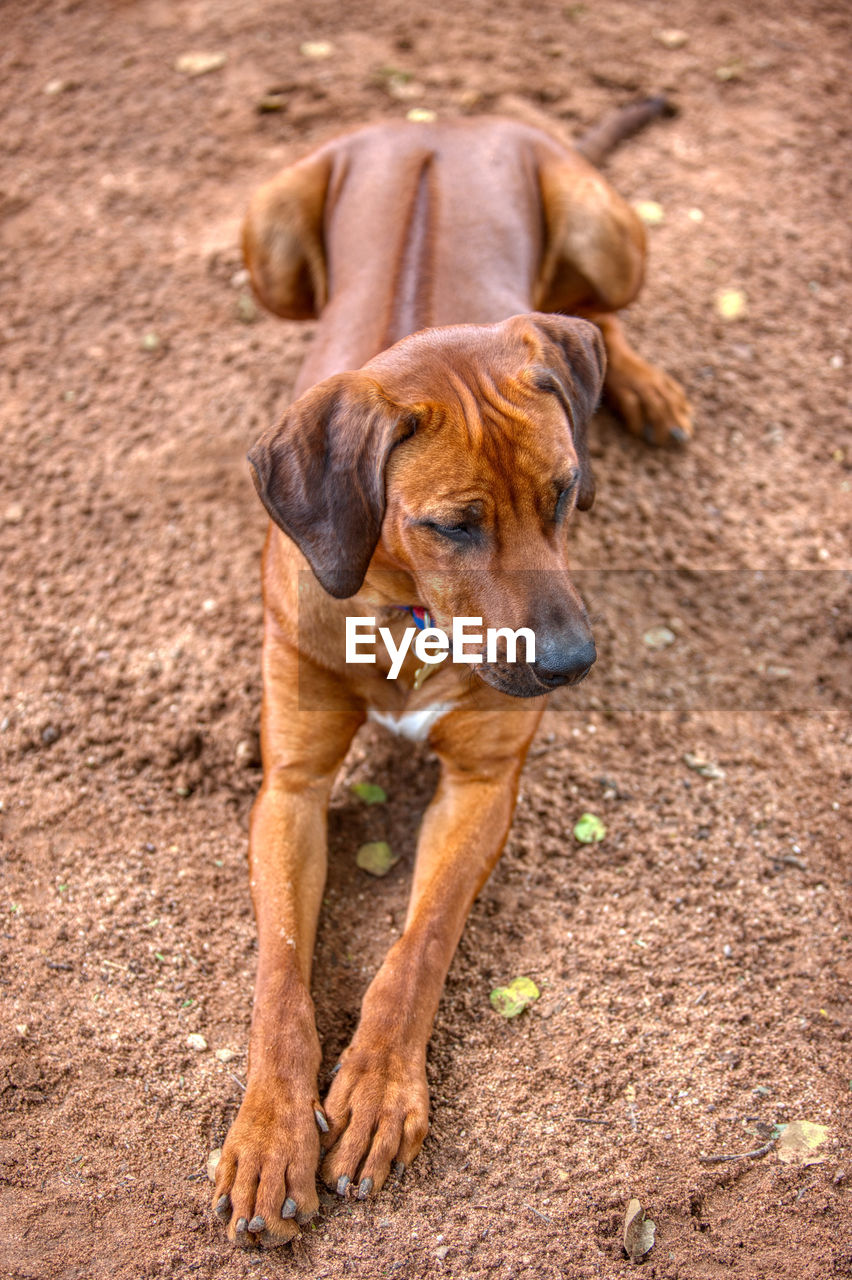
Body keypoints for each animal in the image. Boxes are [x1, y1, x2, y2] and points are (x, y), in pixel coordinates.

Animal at [212, 104, 690, 1244]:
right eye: (451, 525)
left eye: (564, 492)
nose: (569, 664)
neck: (404, 611)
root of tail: (445, 117)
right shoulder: (289, 786)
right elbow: (279, 966)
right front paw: (269, 1129)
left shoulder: (484, 782)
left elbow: (421, 940)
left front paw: (379, 1088)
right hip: (271, 235)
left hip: (603, 228)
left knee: (594, 311)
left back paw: (637, 381)